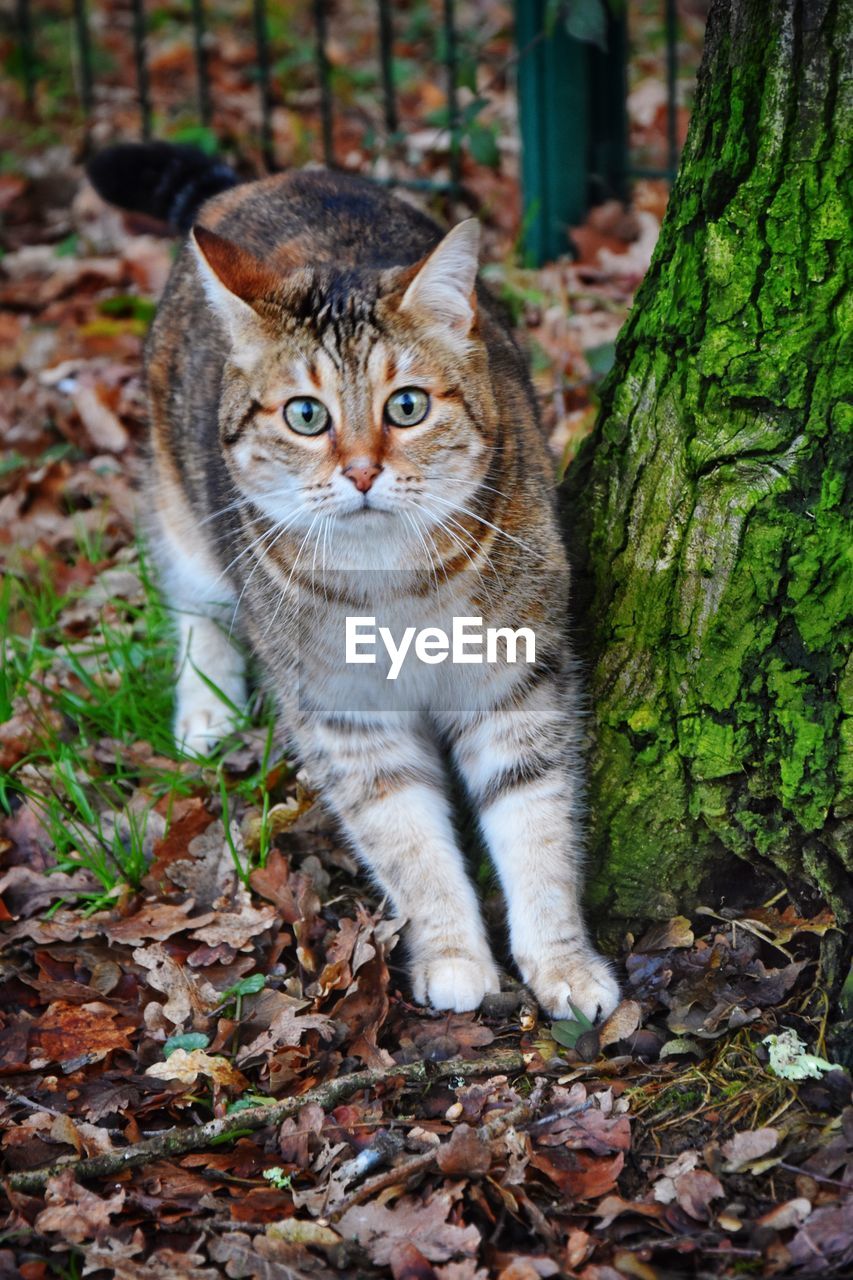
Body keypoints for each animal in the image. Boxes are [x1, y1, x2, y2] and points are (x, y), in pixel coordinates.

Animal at [87, 142, 617, 1018]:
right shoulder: (348, 719)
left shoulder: (513, 687)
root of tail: (261, 179)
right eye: (306, 416)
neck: (394, 586)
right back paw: (207, 707)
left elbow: (536, 831)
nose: (363, 471)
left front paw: (561, 961)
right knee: (196, 606)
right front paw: (452, 956)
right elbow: (410, 845)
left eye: (406, 406)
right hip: (179, 508)